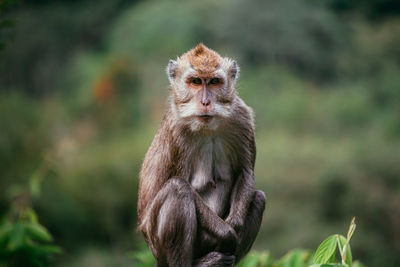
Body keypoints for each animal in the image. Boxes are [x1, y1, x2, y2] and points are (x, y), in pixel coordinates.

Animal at [138, 44, 266, 267]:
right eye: (196, 81)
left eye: (214, 82)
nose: (205, 102)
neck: (207, 127)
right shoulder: (176, 133)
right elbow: (183, 184)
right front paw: (227, 232)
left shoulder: (242, 118)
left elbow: (246, 171)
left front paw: (234, 224)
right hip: (156, 244)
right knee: (178, 190)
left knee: (258, 198)